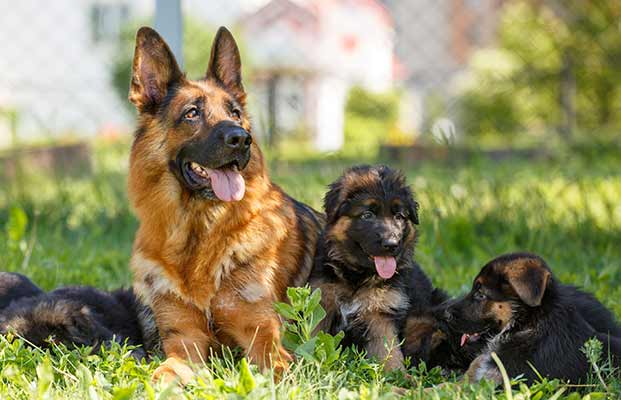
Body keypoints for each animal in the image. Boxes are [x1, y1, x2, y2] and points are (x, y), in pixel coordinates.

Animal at [124, 26, 320, 382]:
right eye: (192, 113)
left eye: (235, 114)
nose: (241, 139)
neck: (199, 232)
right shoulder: (184, 343)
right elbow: (163, 374)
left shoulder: (263, 338)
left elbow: (274, 370)